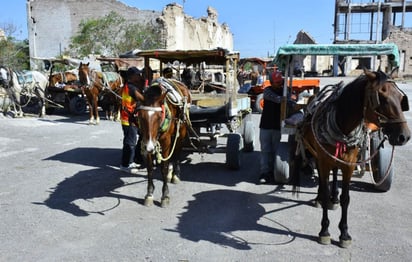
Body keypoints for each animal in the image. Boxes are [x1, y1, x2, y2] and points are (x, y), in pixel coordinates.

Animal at [137, 77, 192, 207]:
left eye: (159, 116)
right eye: (141, 116)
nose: (150, 147)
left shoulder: (165, 141)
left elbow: (164, 168)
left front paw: (165, 195)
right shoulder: (146, 142)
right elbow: (150, 168)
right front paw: (149, 194)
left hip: (181, 131)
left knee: (177, 152)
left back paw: (175, 175)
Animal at [294, 67, 410, 248]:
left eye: (400, 98)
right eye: (382, 98)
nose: (404, 136)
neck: (343, 125)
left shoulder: (348, 165)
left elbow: (346, 198)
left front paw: (344, 233)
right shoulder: (323, 160)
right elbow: (324, 188)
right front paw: (324, 231)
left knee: (335, 174)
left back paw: (334, 198)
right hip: (317, 154)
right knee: (323, 179)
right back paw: (320, 198)